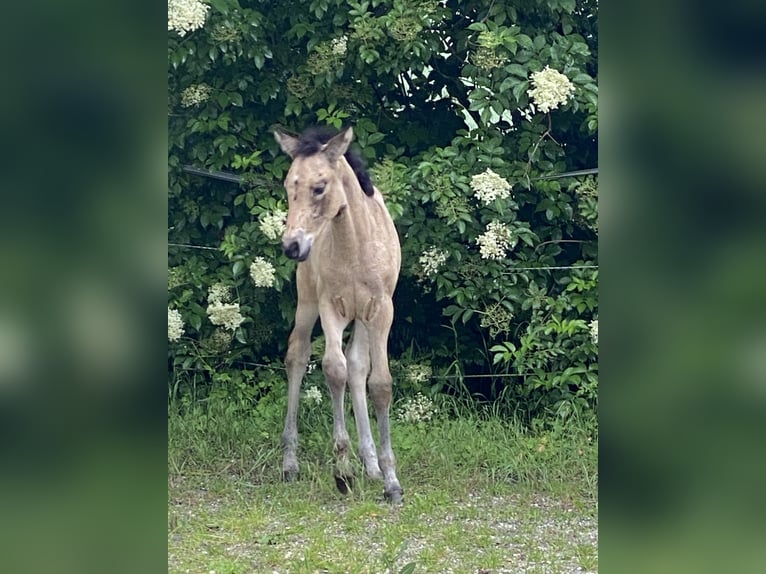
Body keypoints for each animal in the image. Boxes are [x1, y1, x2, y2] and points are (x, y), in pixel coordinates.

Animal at [278, 126, 408, 504]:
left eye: (320, 187)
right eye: (288, 186)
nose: (291, 246)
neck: (355, 245)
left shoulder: (381, 310)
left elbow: (378, 383)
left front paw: (390, 480)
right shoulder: (329, 307)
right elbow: (333, 369)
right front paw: (343, 471)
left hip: (363, 318)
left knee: (358, 365)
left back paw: (372, 466)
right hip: (307, 303)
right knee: (298, 355)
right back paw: (290, 463)